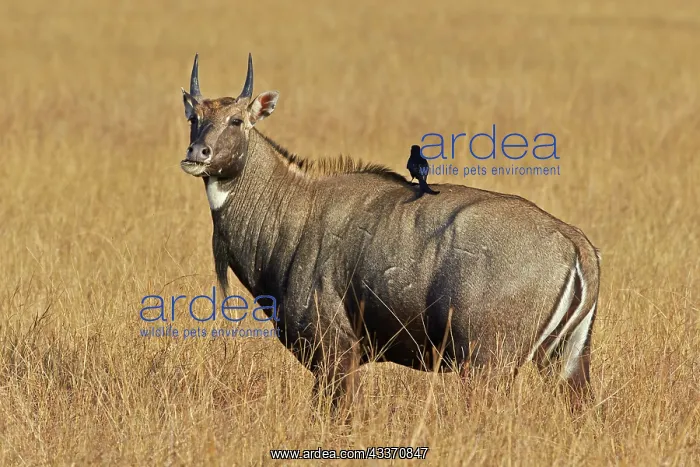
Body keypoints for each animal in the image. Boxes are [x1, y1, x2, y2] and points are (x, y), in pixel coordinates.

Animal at [179, 53, 601, 415]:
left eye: (236, 120)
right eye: (194, 117)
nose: (197, 154)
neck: (292, 205)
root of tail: (574, 242)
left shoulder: (336, 353)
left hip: (487, 365)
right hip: (568, 362)